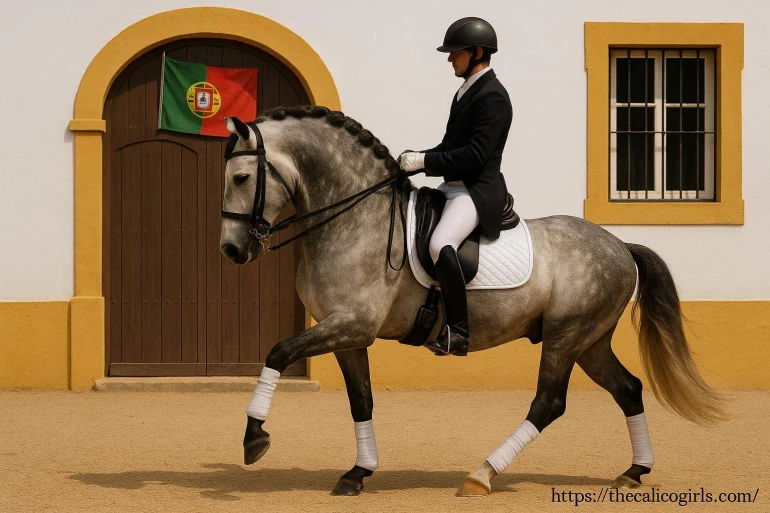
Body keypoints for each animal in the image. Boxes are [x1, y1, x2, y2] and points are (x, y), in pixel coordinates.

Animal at [218, 105, 725, 497]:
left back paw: (481, 475)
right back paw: (634, 471)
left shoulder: (353, 323)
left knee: (549, 403)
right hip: (590, 342)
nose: (231, 250)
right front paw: (358, 473)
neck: (355, 218)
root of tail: (620, 245)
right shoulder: (346, 334)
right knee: (628, 389)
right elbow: (361, 400)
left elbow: (278, 352)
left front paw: (253, 438)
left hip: (567, 337)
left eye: (241, 177)